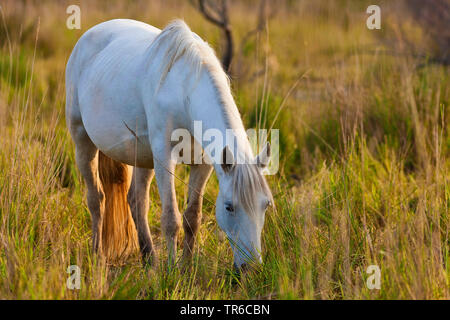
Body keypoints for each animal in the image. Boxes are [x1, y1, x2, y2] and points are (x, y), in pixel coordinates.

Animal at [65, 19, 272, 270]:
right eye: (229, 206)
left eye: (266, 205)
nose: (251, 268)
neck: (184, 92)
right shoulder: (164, 160)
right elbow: (171, 218)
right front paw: (172, 270)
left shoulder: (203, 164)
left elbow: (192, 217)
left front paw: (187, 267)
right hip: (82, 141)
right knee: (97, 199)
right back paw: (98, 256)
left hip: (141, 157)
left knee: (136, 202)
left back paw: (150, 259)